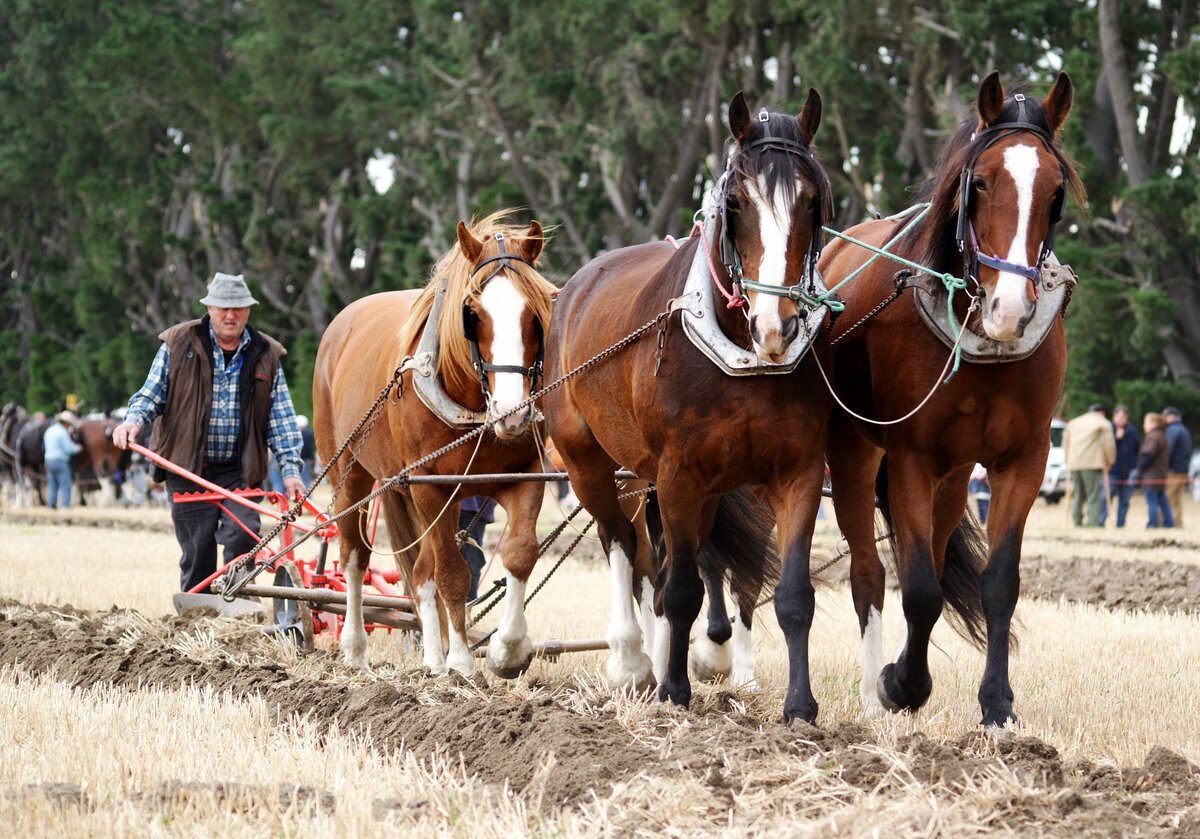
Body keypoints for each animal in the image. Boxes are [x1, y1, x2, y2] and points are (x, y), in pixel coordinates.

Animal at [307, 213, 554, 681]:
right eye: (472, 314)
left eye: (536, 313)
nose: (512, 412)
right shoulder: (430, 485)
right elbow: (453, 573)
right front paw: (462, 661)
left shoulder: (526, 474)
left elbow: (520, 553)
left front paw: (507, 651)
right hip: (350, 472)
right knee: (355, 557)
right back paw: (355, 648)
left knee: (421, 569)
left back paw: (433, 660)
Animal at [544, 90, 835, 720]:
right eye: (737, 201)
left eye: (812, 200)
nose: (776, 326)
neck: (744, 359)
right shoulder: (678, 472)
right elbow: (679, 590)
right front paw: (674, 690)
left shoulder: (796, 472)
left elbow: (792, 594)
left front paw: (799, 705)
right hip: (590, 465)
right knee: (623, 544)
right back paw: (634, 663)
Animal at [820, 73, 1084, 729]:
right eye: (980, 180)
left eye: (1055, 191)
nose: (1010, 310)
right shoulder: (910, 457)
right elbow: (917, 589)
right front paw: (902, 685)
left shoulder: (1023, 459)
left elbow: (998, 582)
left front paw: (997, 705)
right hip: (854, 454)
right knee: (869, 574)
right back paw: (873, 694)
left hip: (956, 473)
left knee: (934, 559)